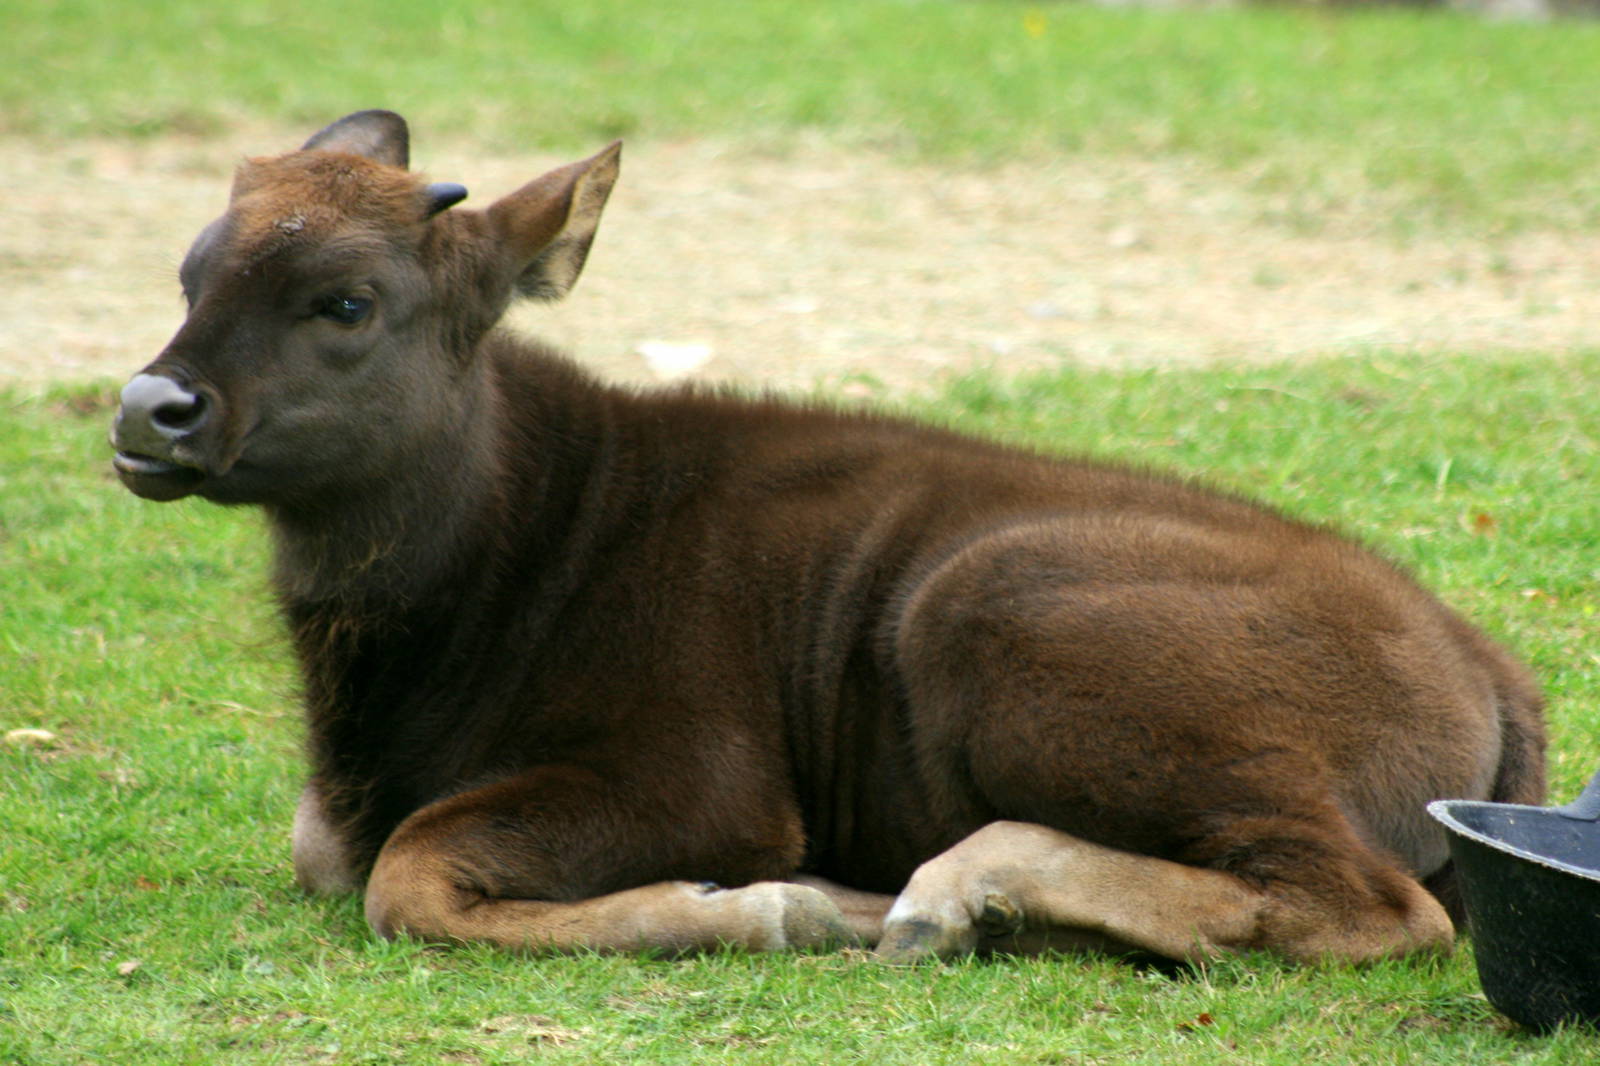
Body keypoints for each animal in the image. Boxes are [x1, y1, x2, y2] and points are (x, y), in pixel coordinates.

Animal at [109, 110, 1546, 964]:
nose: (148, 409)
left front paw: (788, 903)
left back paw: (950, 891)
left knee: (1370, 906)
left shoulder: (707, 784)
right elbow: (330, 852)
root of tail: (1481, 661)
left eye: (346, 299)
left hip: (977, 602)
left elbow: (405, 876)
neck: (528, 525)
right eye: (191, 272)